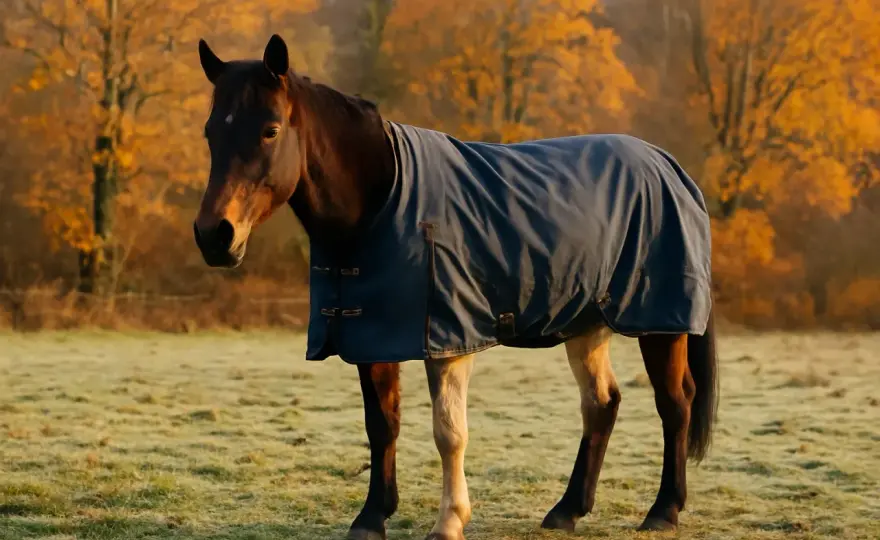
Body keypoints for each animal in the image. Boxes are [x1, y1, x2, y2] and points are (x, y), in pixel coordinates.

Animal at [193, 34, 719, 540]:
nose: (214, 235)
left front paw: (449, 521)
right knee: (602, 403)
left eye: (270, 130)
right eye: (211, 132)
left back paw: (663, 511)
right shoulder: (372, 337)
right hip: (587, 322)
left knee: (675, 403)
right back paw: (566, 511)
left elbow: (449, 433)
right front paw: (372, 517)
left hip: (660, 324)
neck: (382, 201)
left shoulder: (448, 340)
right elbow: (382, 425)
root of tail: (670, 166)